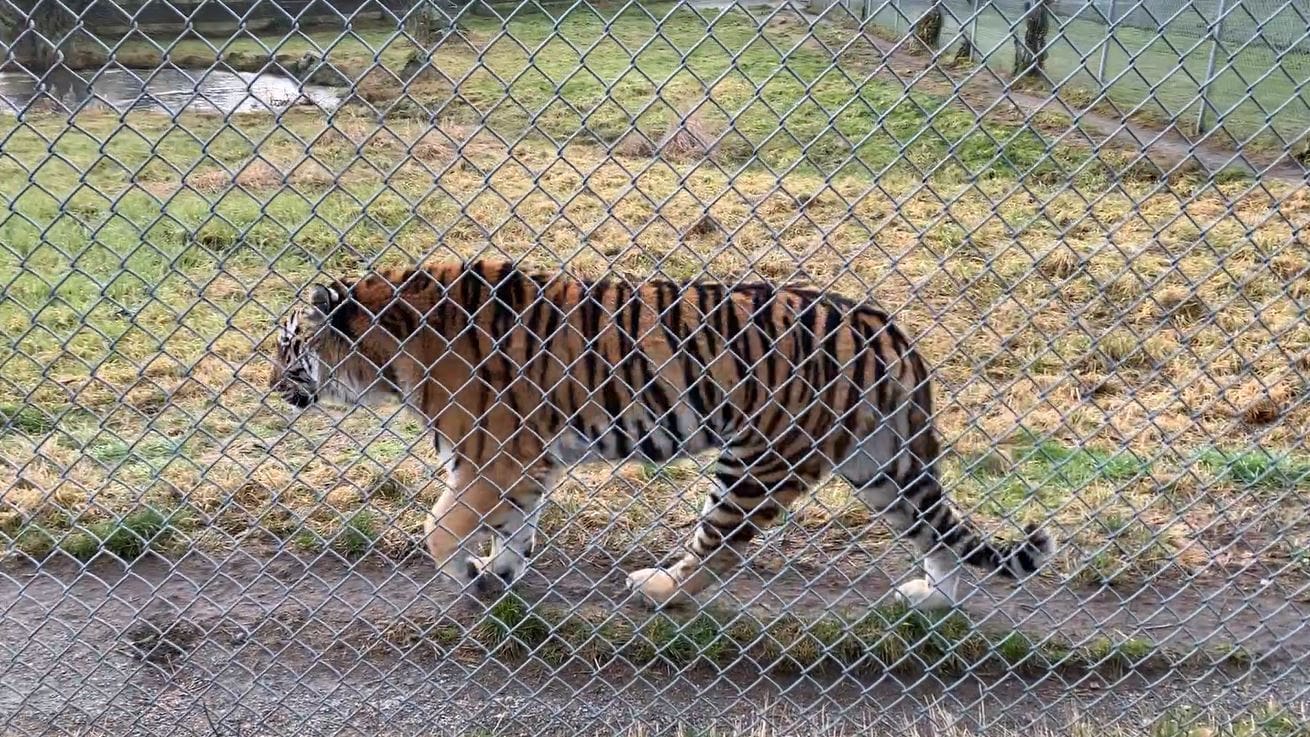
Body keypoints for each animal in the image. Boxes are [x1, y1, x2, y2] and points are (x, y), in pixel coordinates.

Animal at [268, 259, 1053, 612]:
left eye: (285, 346)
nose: (272, 387)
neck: (385, 351)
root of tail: (887, 327)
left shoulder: (492, 458)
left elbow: (440, 525)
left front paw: (464, 575)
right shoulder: (525, 462)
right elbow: (516, 527)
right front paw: (498, 574)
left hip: (760, 459)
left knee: (721, 547)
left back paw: (658, 586)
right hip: (880, 464)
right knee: (935, 530)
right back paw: (931, 596)